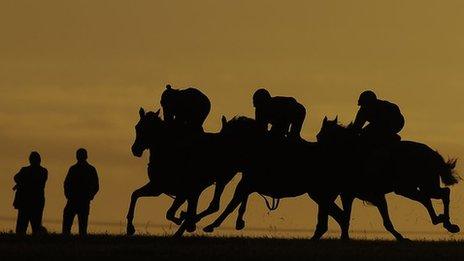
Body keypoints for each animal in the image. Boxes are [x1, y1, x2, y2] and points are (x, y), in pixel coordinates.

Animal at [126, 107, 237, 236]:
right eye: (137, 127)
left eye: (149, 129)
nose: (135, 149)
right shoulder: (157, 187)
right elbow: (135, 194)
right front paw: (130, 228)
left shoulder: (181, 191)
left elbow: (170, 213)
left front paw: (182, 220)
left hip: (221, 180)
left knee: (214, 205)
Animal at [316, 116, 460, 240]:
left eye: (319, 136)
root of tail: (432, 154)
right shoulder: (371, 195)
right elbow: (383, 219)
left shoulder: (350, 193)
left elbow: (347, 216)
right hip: (417, 186)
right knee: (430, 197)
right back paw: (444, 222)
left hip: (410, 187)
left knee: (439, 194)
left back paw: (447, 223)